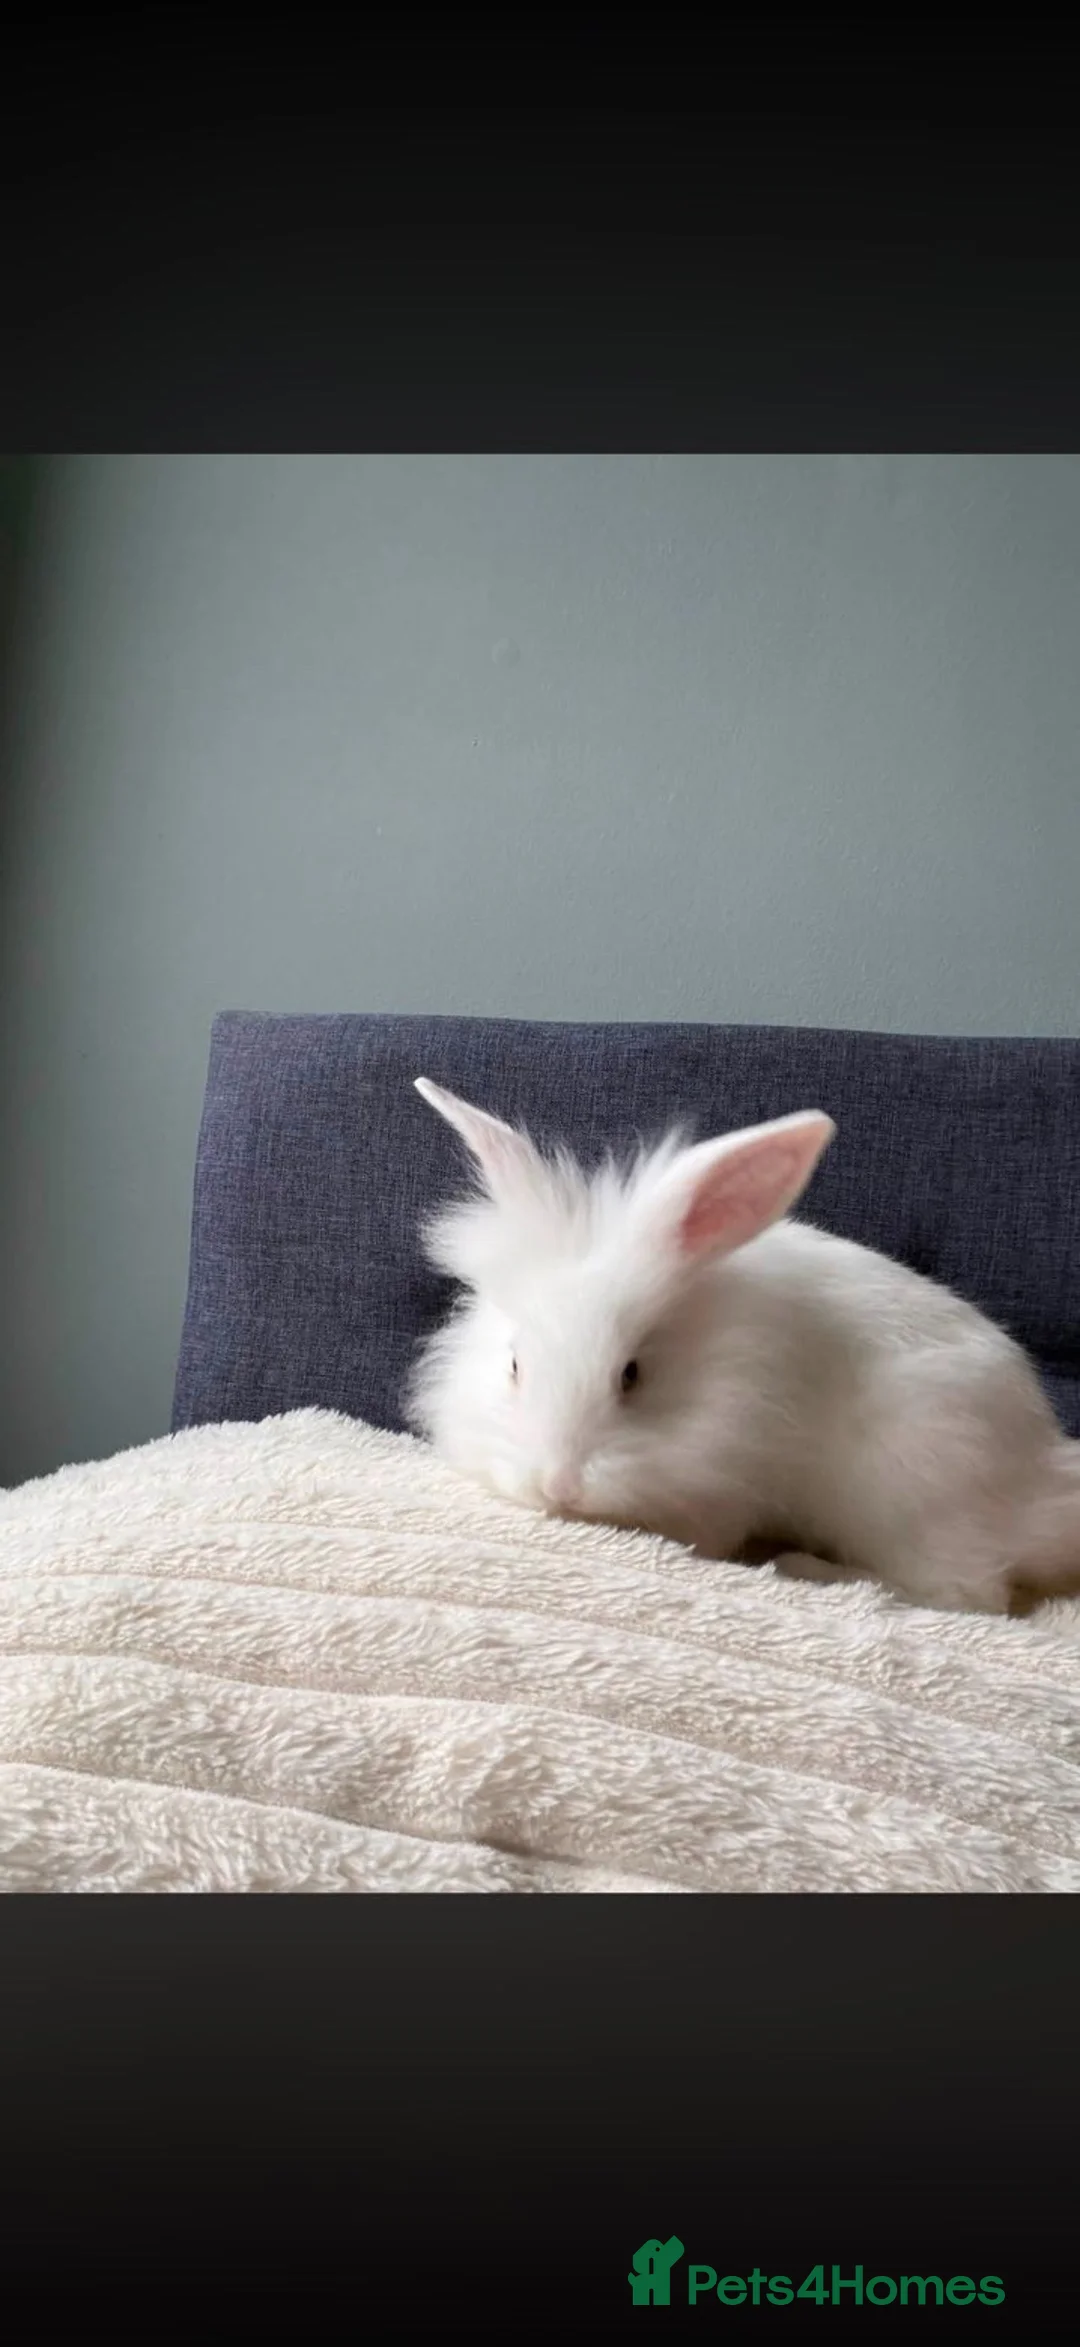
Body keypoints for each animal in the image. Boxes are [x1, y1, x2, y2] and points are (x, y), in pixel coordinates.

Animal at [404, 1077, 1080, 1616]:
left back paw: (804, 1567)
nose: (559, 1487)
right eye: (516, 1365)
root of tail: (1041, 1485)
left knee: (965, 1592)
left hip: (911, 1490)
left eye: (632, 1374)